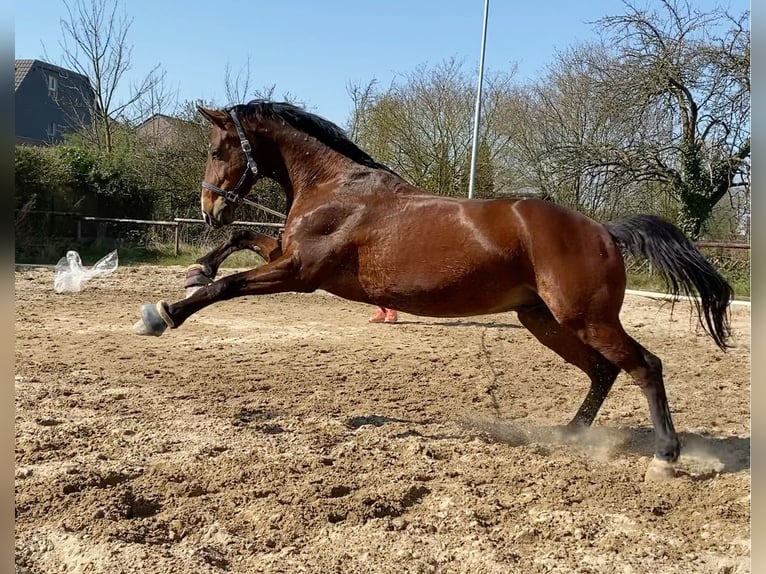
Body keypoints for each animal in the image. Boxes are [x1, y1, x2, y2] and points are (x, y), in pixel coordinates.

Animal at [135, 100, 736, 482]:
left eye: (218, 149)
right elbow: (242, 241)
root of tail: (604, 231)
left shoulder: (302, 272)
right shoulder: (287, 257)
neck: (337, 187)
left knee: (644, 366)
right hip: (542, 320)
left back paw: (664, 458)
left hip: (584, 318)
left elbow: (228, 284)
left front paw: (162, 313)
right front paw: (193, 270)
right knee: (604, 371)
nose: (209, 209)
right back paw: (566, 437)